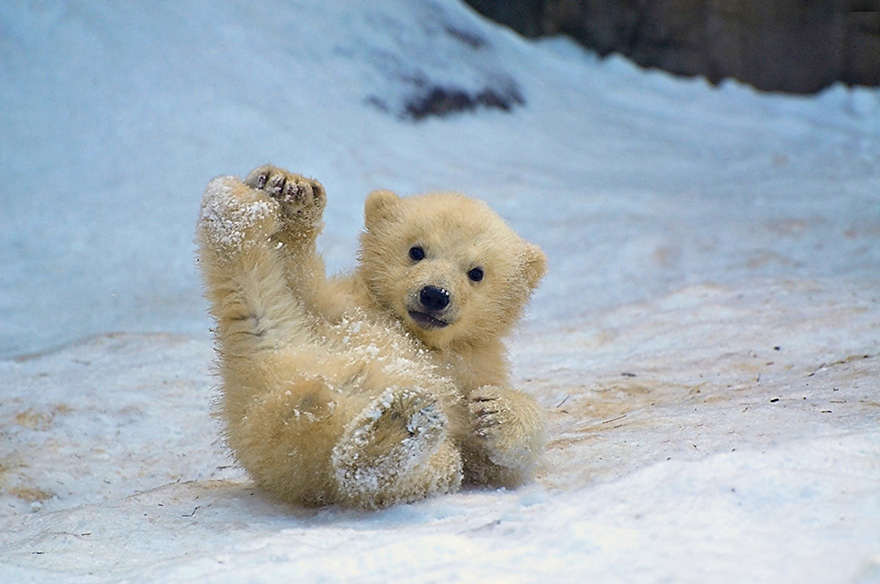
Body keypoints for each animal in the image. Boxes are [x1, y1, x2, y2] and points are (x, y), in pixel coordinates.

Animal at [196, 164, 547, 508]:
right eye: (416, 251)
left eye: (476, 272)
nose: (435, 295)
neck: (418, 335)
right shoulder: (343, 307)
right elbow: (300, 281)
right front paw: (292, 190)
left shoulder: (473, 365)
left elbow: (492, 465)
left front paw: (496, 410)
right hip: (279, 350)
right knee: (255, 294)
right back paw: (235, 203)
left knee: (423, 468)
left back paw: (396, 430)